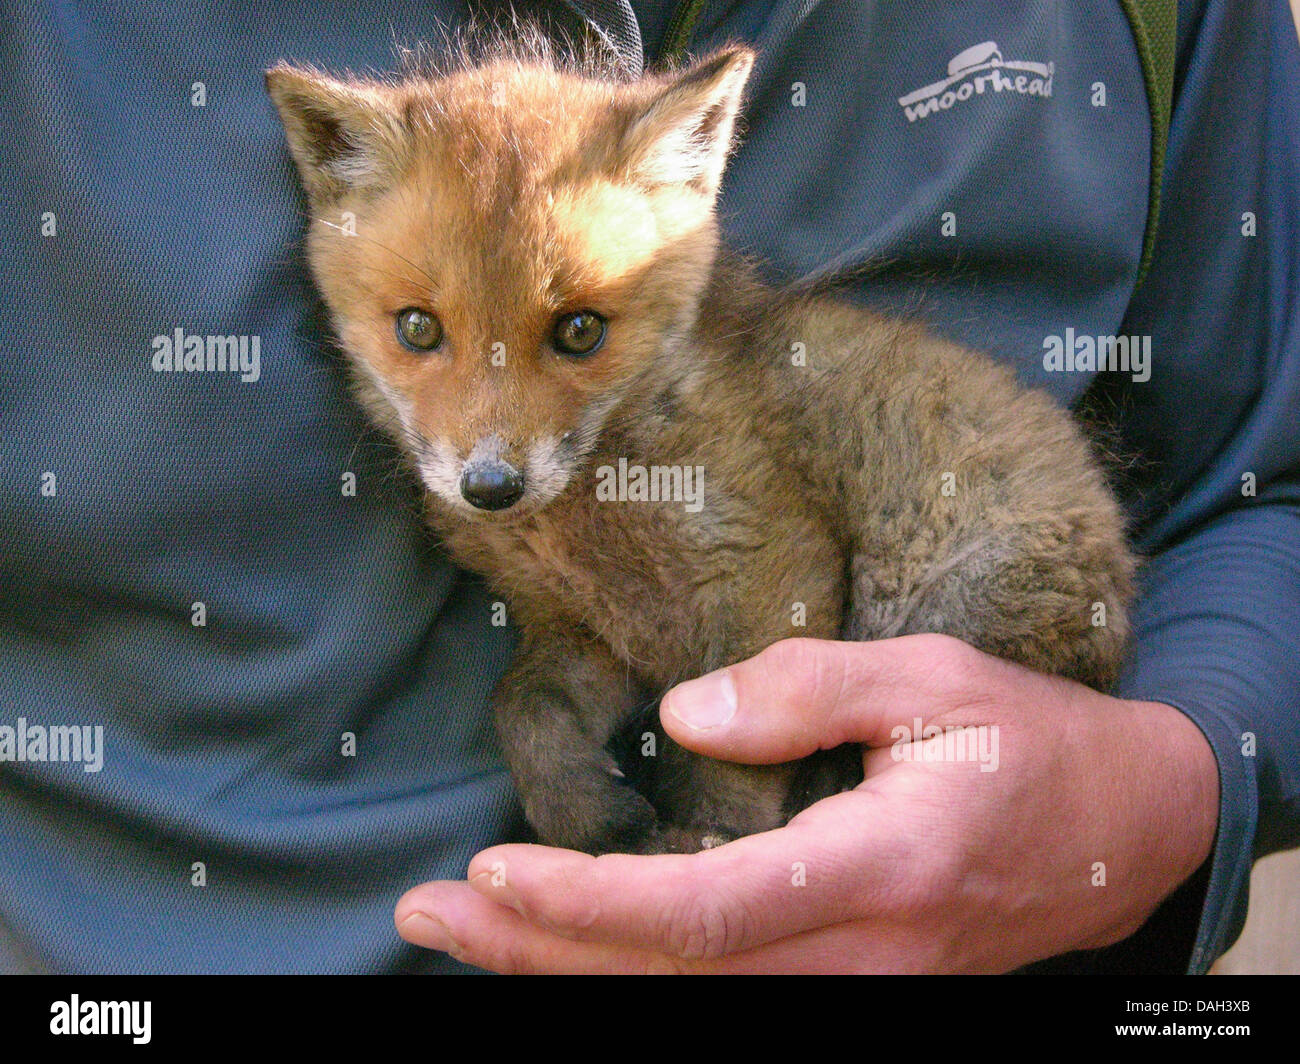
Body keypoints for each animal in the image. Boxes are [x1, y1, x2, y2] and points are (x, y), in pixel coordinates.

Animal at [269, 31, 1133, 853]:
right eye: (418, 328)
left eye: (580, 331)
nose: (490, 487)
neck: (594, 510)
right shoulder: (586, 628)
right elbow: (522, 710)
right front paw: (585, 813)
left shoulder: (775, 573)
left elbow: (727, 754)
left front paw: (714, 839)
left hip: (934, 594)